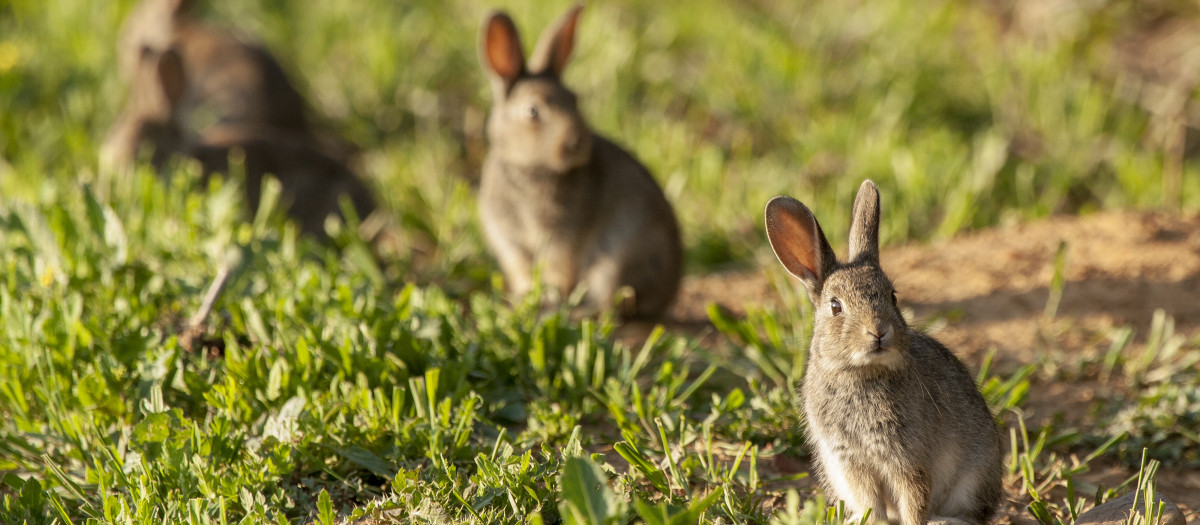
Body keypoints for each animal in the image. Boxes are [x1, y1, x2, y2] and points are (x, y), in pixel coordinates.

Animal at [477, 5, 686, 318]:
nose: (578, 142)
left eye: (574, 100)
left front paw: (549, 302)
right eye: (532, 111)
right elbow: (524, 274)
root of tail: (667, 295)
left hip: (615, 260)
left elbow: (559, 272)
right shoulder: (511, 244)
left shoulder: (561, 240)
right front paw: (526, 302)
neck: (529, 169)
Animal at [763, 180, 1008, 525]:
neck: (861, 373)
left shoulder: (908, 460)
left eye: (892, 296)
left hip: (973, 476)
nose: (878, 331)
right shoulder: (853, 463)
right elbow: (872, 503)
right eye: (835, 306)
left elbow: (913, 501)